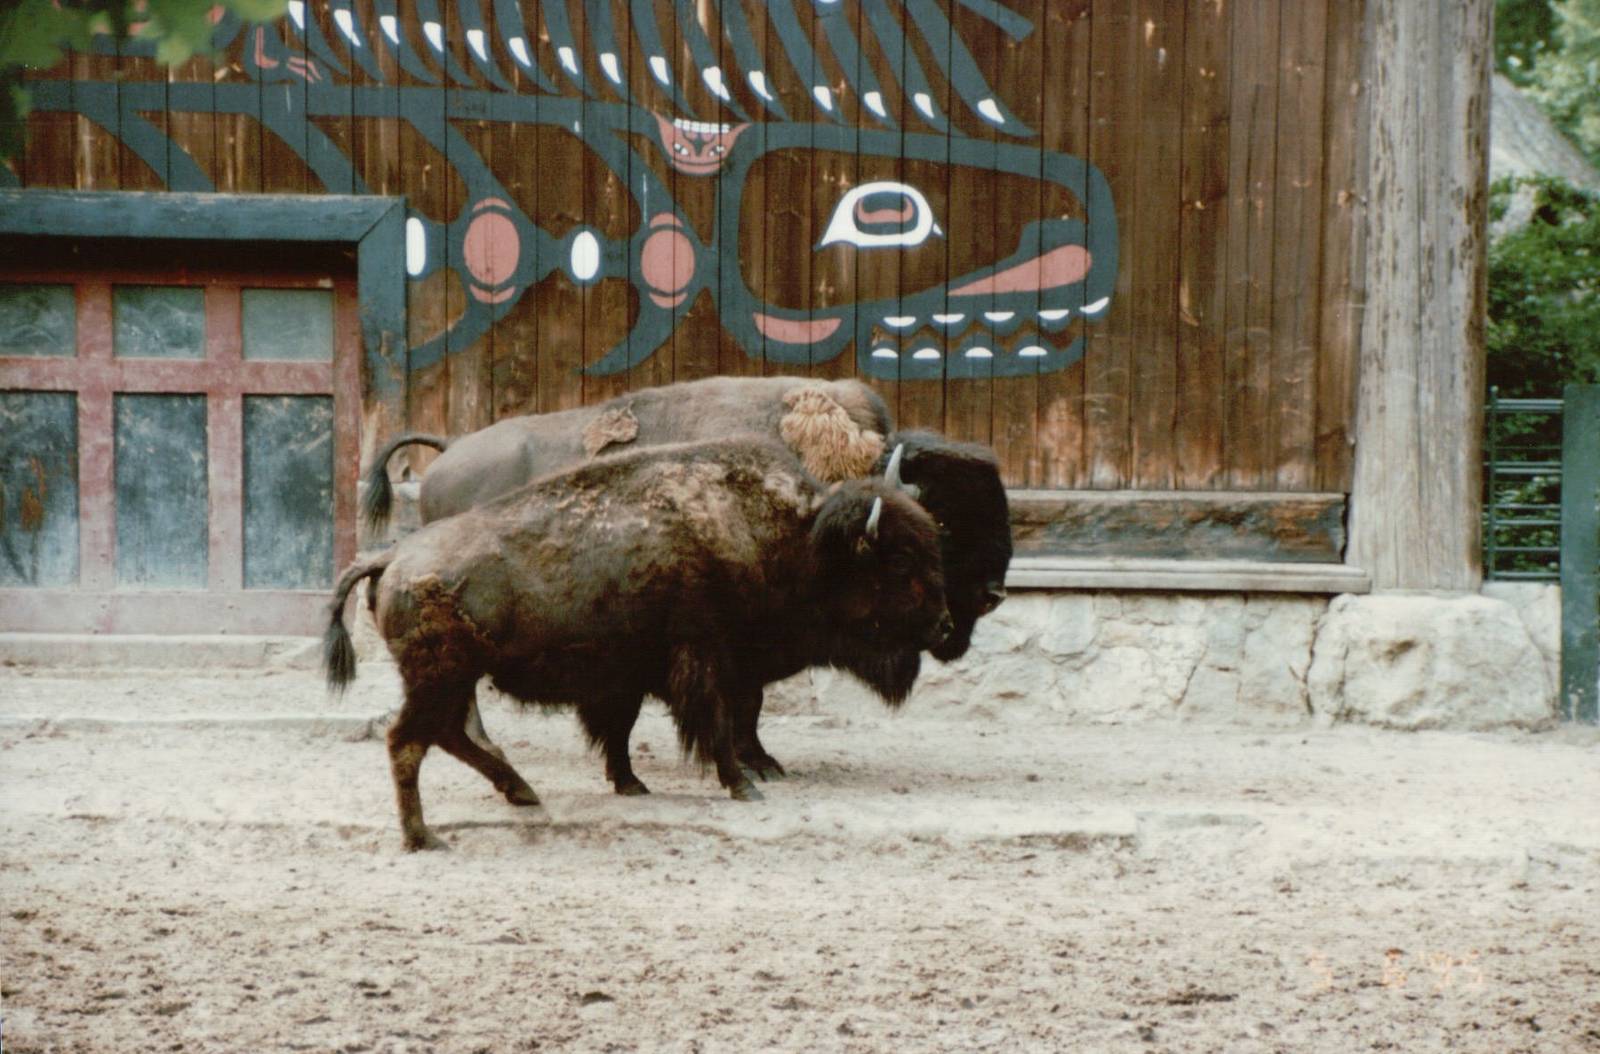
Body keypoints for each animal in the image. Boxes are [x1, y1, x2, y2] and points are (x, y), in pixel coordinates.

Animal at [325, 437, 950, 850]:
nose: (945, 627)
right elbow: (718, 724)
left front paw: (630, 784)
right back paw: (423, 837)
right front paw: (744, 784)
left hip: (453, 679)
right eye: (897, 561)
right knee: (408, 741)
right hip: (439, 678)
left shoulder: (630, 677)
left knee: (449, 735)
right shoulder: (705, 662)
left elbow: (622, 731)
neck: (797, 537)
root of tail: (393, 556)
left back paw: (521, 793)